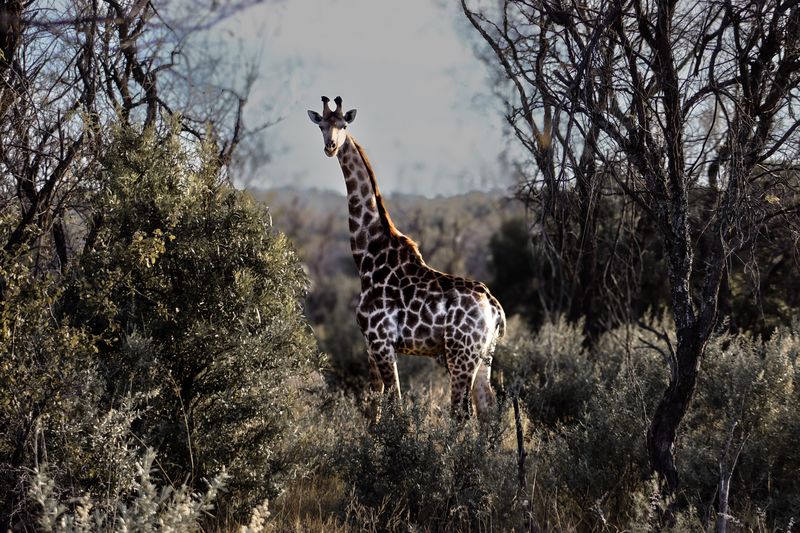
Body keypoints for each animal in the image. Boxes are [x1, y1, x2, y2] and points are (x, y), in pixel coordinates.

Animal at [307, 96, 506, 420]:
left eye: (344, 125)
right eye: (322, 125)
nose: (331, 147)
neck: (368, 255)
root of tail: (494, 308)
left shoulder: (382, 341)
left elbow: (395, 403)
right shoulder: (369, 344)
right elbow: (374, 407)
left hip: (460, 354)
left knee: (461, 412)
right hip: (484, 356)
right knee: (487, 408)